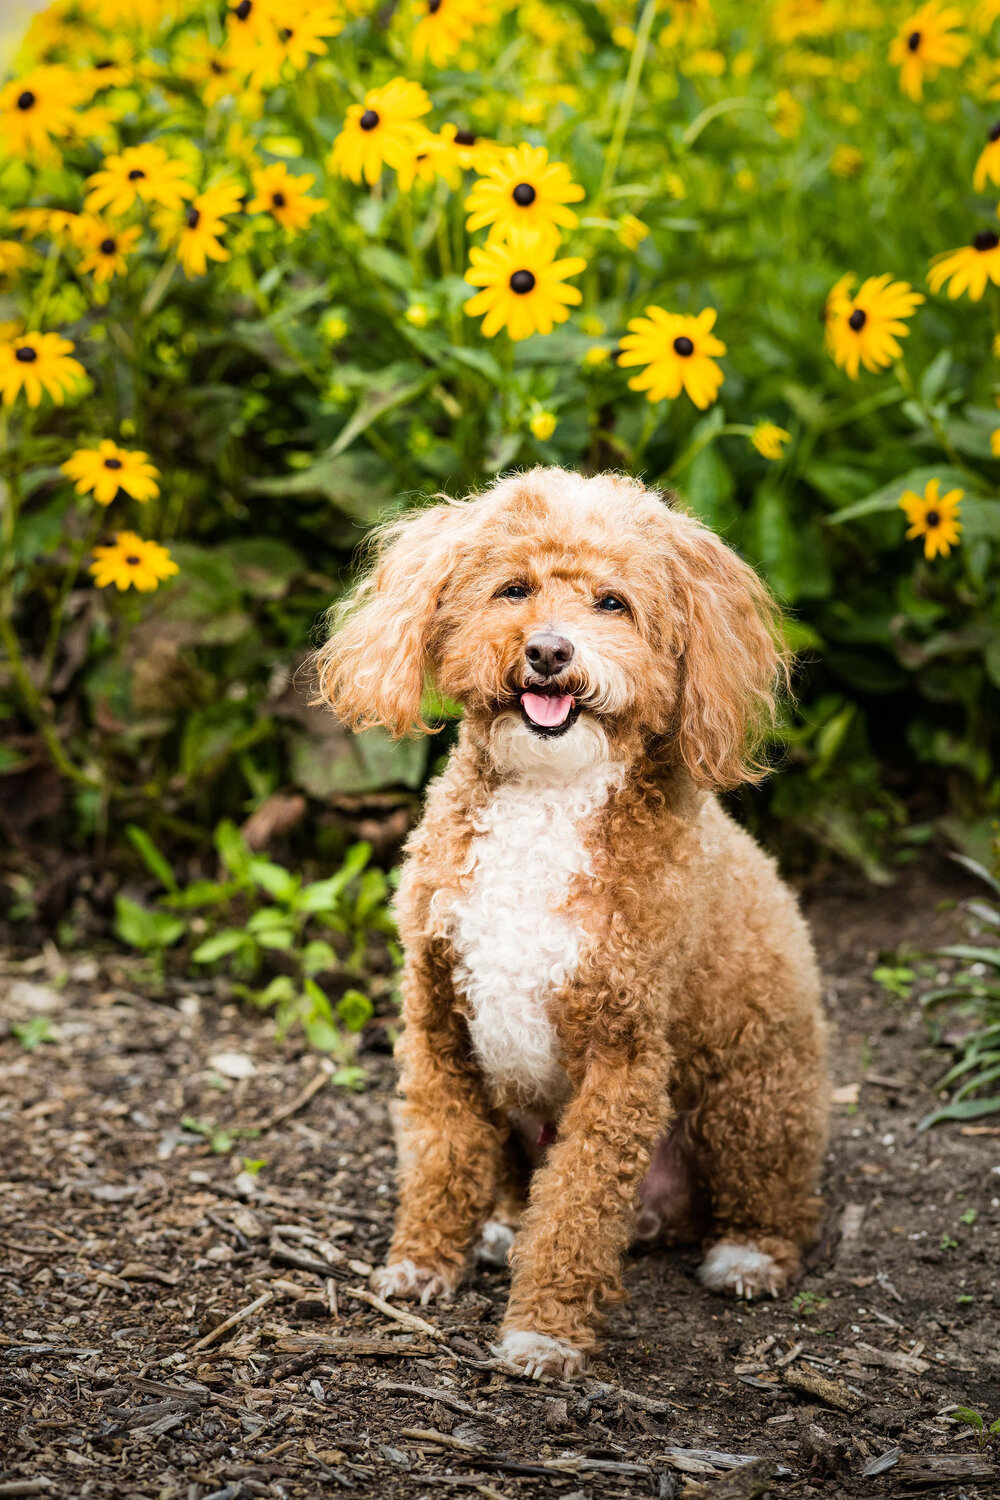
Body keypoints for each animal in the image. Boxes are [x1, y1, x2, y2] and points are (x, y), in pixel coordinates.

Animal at [314, 468, 827, 1380]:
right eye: (514, 589)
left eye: (612, 603)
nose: (550, 651)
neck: (549, 795)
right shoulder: (439, 1022)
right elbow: (441, 1154)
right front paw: (424, 1262)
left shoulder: (622, 1060)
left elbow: (579, 1209)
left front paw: (544, 1331)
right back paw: (496, 1226)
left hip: (754, 1094)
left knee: (776, 1202)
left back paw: (747, 1254)